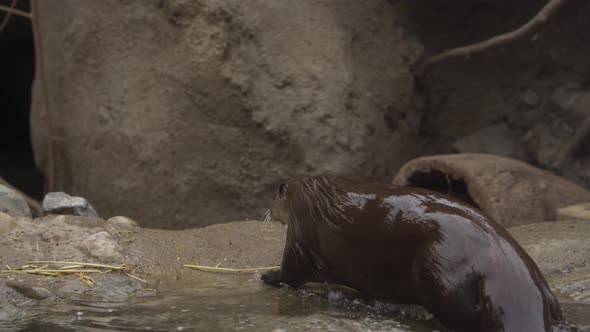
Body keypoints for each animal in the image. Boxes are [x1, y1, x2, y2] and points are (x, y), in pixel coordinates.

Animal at [262, 175, 576, 332]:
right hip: (543, 288)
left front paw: (268, 275)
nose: (266, 209)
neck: (312, 193)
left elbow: (291, 272)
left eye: (275, 196)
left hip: (439, 272)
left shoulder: (299, 232)